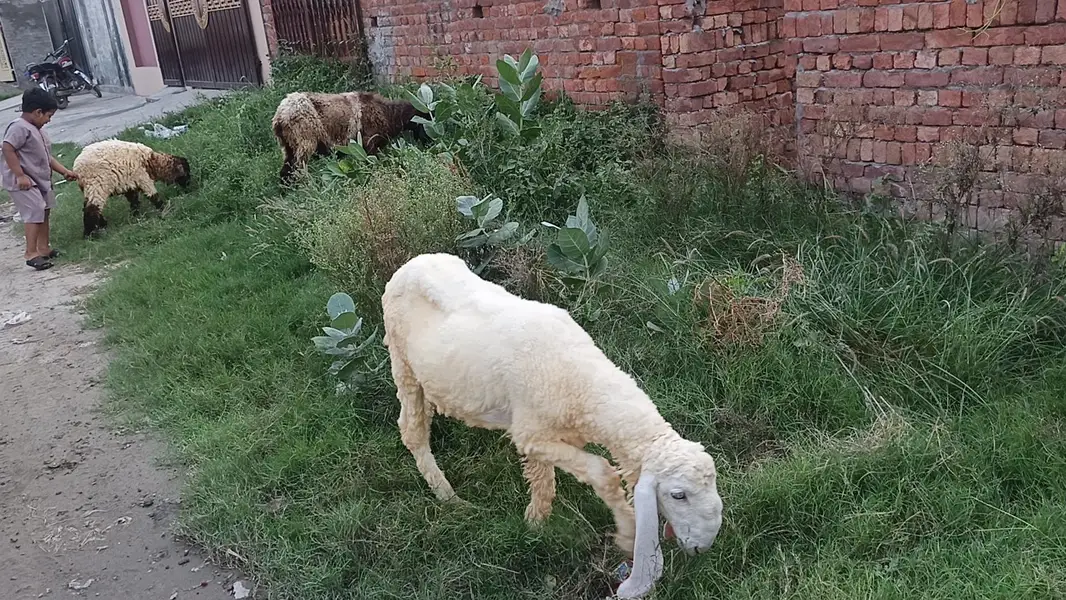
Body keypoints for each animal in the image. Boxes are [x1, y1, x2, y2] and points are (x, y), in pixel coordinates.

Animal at [271, 90, 429, 183]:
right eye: (424, 122)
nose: (428, 143)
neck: (389, 114)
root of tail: (280, 117)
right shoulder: (369, 142)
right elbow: (372, 161)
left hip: (288, 146)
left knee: (286, 170)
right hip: (305, 141)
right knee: (298, 168)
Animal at [381, 252, 723, 599]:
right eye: (678, 495)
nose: (703, 547)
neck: (583, 381)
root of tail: (414, 262)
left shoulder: (543, 435)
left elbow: (542, 479)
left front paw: (535, 522)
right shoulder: (529, 433)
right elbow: (602, 472)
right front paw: (628, 532)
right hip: (403, 363)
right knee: (412, 431)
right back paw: (448, 496)